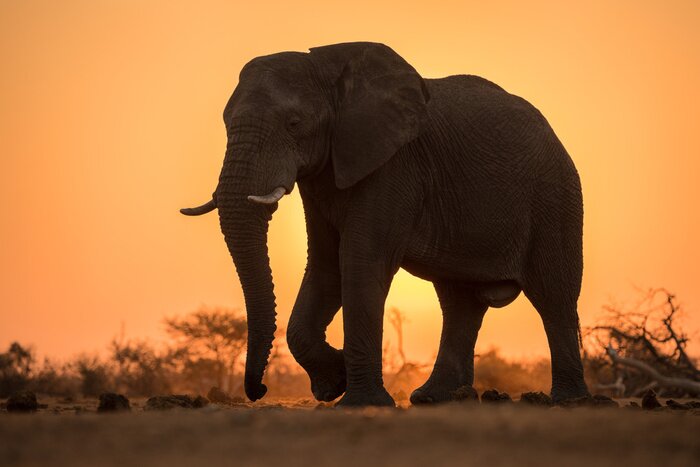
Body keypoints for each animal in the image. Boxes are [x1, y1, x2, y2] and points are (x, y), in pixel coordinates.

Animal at [181, 41, 589, 407]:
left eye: (294, 123)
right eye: (225, 123)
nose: (260, 390)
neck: (330, 70)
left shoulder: (395, 165)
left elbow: (360, 260)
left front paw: (358, 400)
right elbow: (326, 265)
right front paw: (334, 381)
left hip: (555, 196)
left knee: (554, 294)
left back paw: (568, 400)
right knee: (459, 301)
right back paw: (434, 398)